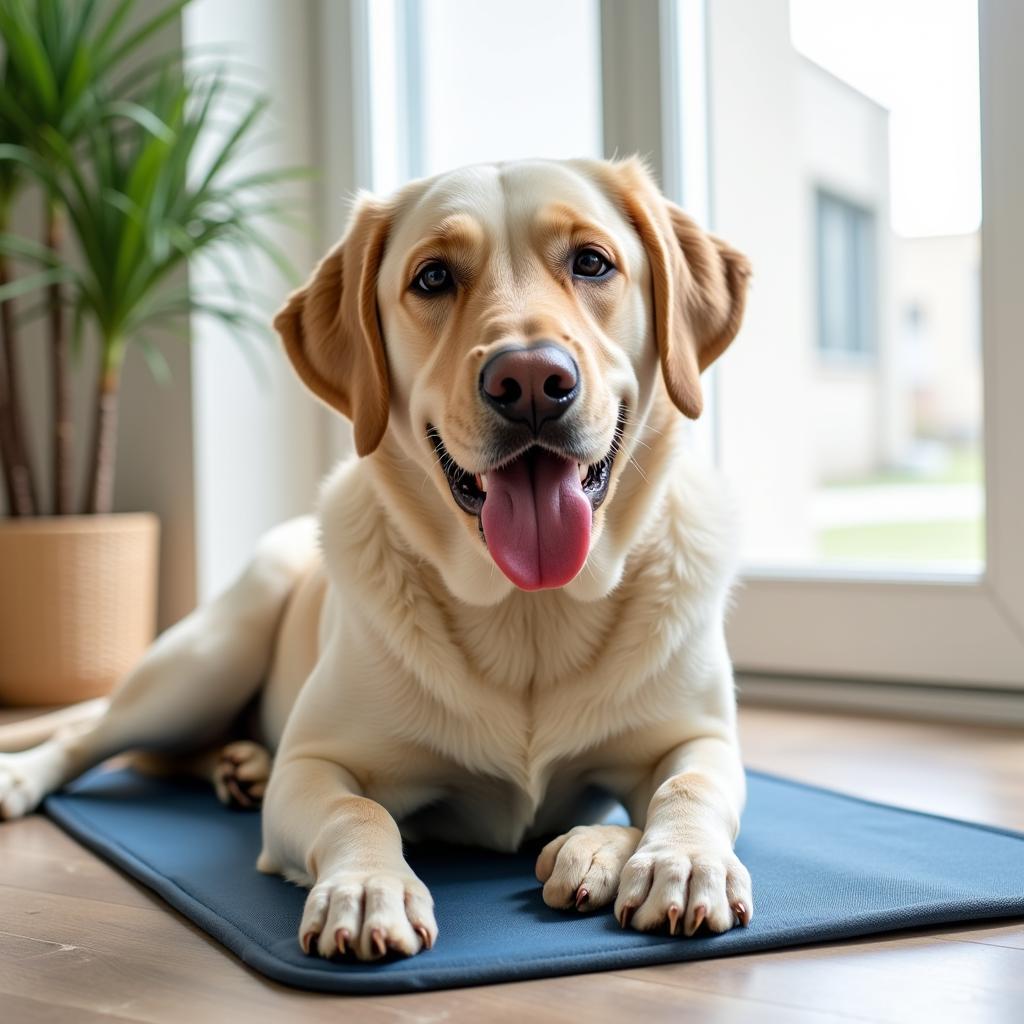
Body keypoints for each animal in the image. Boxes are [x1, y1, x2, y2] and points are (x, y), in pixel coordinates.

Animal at [0, 155, 753, 962]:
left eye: (592, 262)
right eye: (433, 278)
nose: (529, 381)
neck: (527, 607)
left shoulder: (699, 739)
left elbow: (685, 786)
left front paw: (668, 859)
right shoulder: (311, 767)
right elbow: (359, 811)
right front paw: (366, 889)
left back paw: (242, 765)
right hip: (203, 660)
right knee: (90, 735)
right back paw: (26, 778)